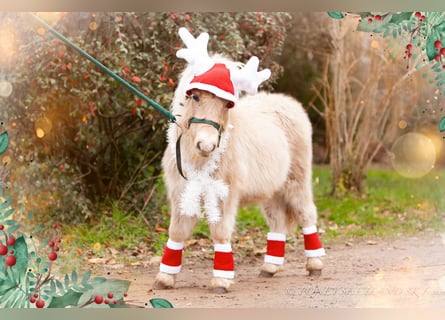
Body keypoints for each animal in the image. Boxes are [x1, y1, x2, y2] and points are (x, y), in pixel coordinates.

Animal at [153, 27, 322, 292]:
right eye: (195, 97)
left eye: (226, 103)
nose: (207, 145)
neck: (198, 157)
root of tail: (288, 102)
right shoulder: (181, 191)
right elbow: (177, 232)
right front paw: (165, 278)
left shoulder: (224, 194)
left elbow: (220, 232)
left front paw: (221, 279)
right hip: (271, 190)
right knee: (277, 221)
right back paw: (270, 268)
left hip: (297, 179)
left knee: (306, 214)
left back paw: (314, 265)